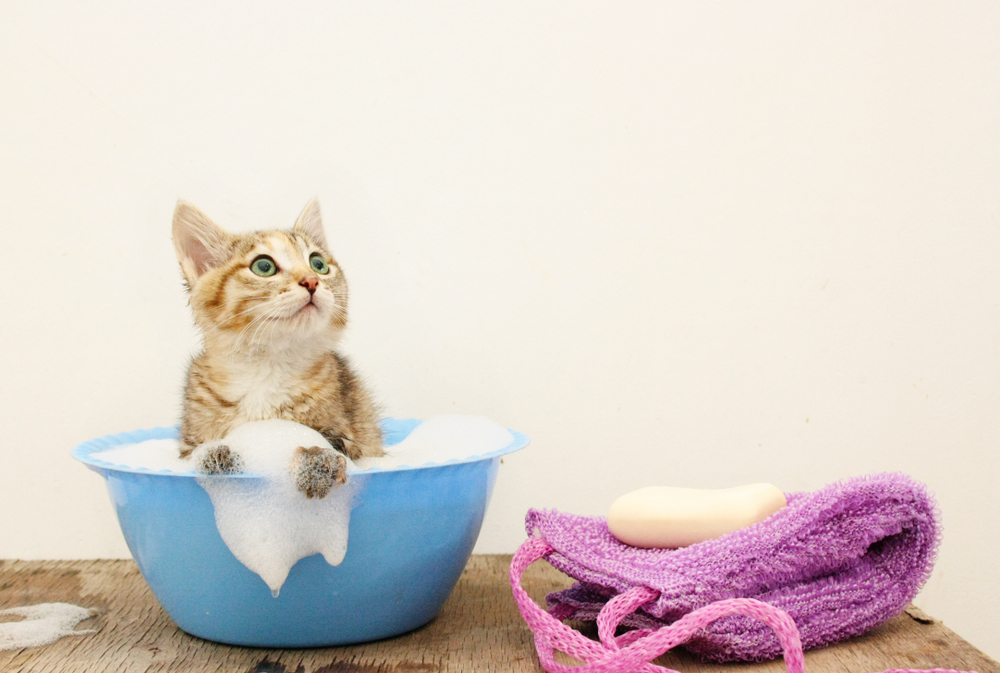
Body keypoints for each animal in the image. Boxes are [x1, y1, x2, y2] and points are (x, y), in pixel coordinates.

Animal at [172, 197, 382, 496]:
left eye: (318, 263)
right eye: (264, 267)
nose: (312, 280)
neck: (267, 367)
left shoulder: (350, 439)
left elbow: (331, 445)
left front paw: (316, 463)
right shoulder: (188, 444)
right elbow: (199, 452)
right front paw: (216, 454)